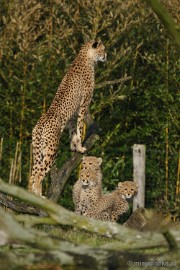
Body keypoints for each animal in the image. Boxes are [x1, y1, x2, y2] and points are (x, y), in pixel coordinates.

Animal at [28, 40, 106, 196]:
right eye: (103, 49)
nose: (106, 55)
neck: (86, 57)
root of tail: (39, 124)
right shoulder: (83, 104)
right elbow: (79, 126)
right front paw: (80, 147)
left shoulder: (73, 114)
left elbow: (73, 130)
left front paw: (74, 146)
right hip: (51, 150)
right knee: (39, 173)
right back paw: (39, 195)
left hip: (38, 150)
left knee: (33, 173)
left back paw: (30, 194)